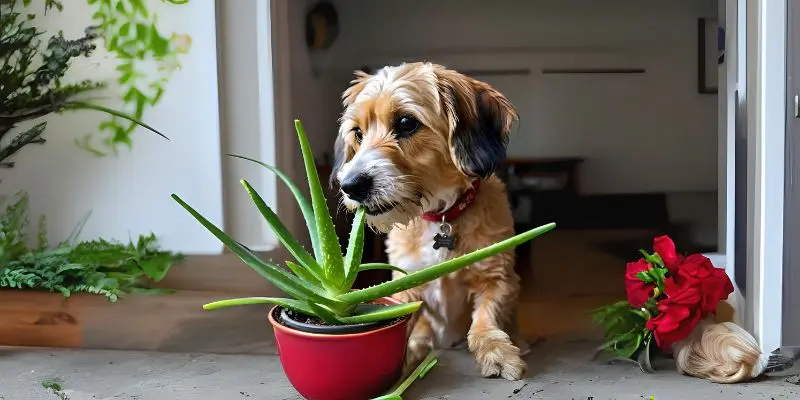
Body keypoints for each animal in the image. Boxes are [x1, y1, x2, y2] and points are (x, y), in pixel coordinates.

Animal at [328, 61, 528, 380]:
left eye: (406, 122)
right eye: (358, 133)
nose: (350, 185)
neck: (441, 215)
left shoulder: (497, 278)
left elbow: (485, 319)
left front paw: (496, 351)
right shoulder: (406, 284)